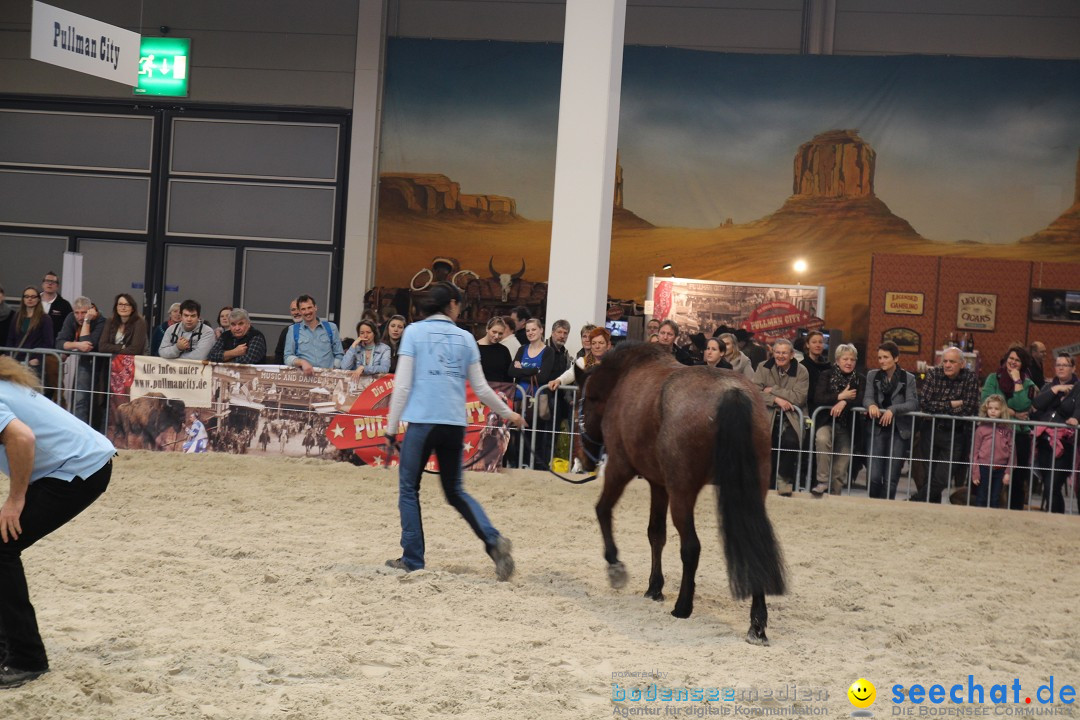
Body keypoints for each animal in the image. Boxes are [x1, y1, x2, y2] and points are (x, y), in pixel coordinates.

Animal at [574, 341, 786, 643]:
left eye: (577, 406)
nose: (584, 459)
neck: (624, 378)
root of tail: (731, 392)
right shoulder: (658, 483)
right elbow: (656, 534)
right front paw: (654, 587)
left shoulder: (620, 467)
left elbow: (603, 510)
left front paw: (615, 566)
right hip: (747, 492)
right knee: (753, 543)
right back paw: (756, 624)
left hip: (682, 493)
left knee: (691, 546)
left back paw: (683, 606)